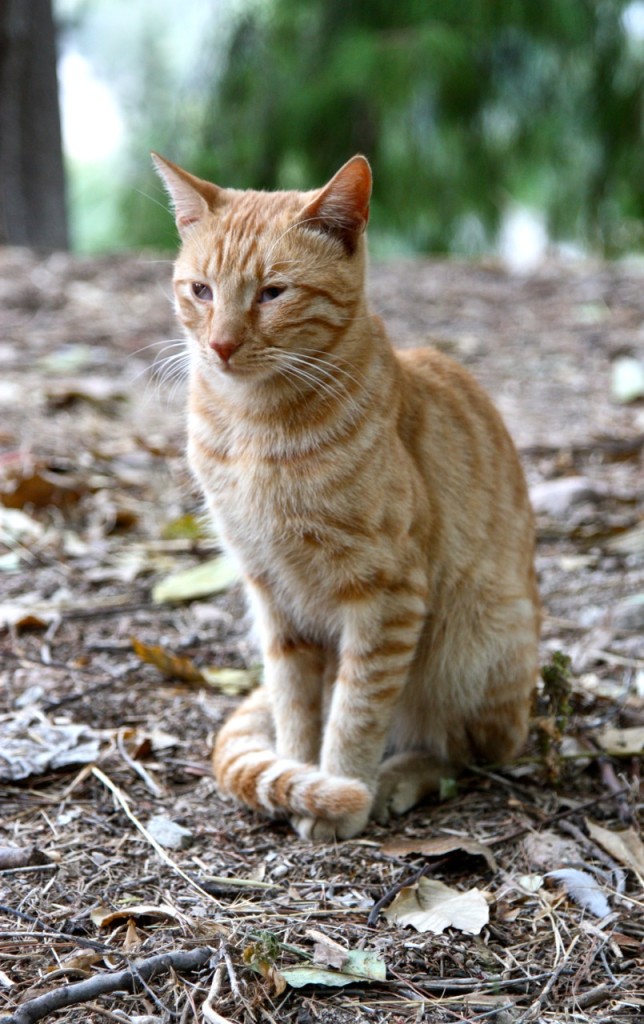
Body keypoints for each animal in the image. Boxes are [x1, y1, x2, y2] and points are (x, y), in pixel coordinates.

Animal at [153, 151, 540, 839]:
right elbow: (295, 705)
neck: (255, 429)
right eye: (201, 291)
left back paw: (397, 778)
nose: (220, 345)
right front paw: (300, 779)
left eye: (273, 293)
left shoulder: (387, 594)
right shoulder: (271, 593)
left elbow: (357, 709)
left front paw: (343, 792)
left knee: (465, 750)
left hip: (478, 640)